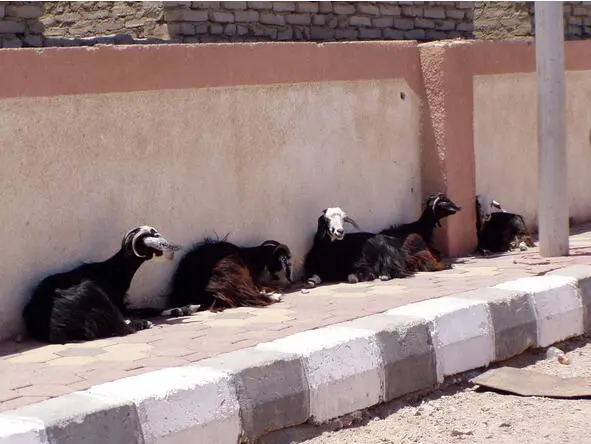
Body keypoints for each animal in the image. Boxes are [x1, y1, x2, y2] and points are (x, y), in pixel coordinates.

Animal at [22, 225, 179, 344]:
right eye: (152, 239)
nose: (170, 250)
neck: (112, 272)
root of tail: (57, 329)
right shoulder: (118, 305)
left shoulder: (123, 305)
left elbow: (149, 308)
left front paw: (176, 309)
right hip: (91, 291)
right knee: (122, 327)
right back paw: (142, 324)